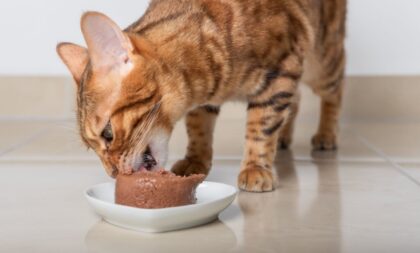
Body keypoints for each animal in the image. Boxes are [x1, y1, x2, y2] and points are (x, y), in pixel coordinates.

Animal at [56, 0, 344, 193]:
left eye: (108, 134)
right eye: (90, 147)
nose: (113, 174)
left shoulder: (280, 73)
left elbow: (260, 127)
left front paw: (255, 167)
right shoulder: (205, 101)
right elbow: (198, 129)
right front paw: (196, 160)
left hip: (320, 61)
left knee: (334, 90)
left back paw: (326, 134)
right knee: (296, 100)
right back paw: (285, 136)